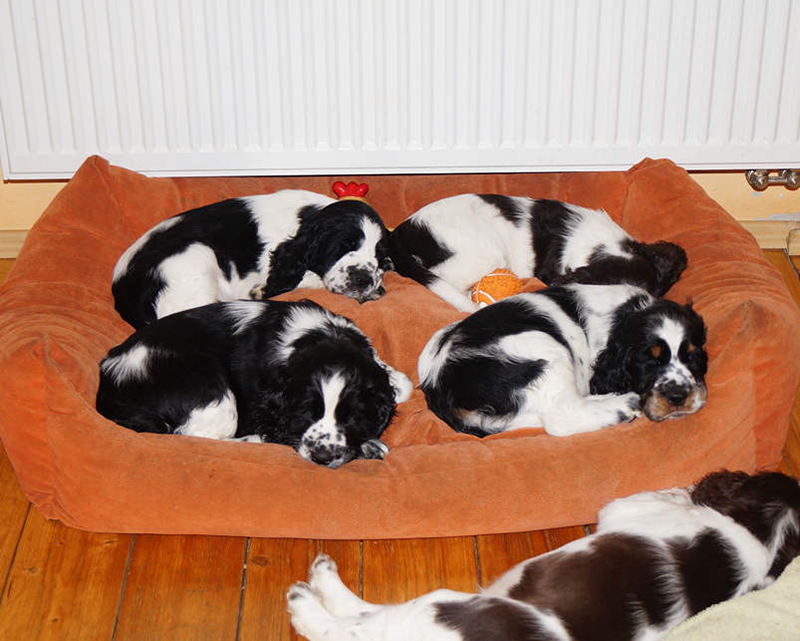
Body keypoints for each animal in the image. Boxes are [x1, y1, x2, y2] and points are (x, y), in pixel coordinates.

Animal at [95, 298, 412, 468]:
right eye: (306, 412)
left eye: (352, 417)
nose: (322, 456)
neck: (318, 337)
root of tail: (110, 377)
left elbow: (401, 385)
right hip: (208, 382)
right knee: (195, 436)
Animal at [111, 189, 392, 330]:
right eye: (344, 246)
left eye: (379, 256)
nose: (362, 279)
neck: (306, 217)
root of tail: (121, 290)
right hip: (196, 255)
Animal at [288, 470, 800, 640]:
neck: (769, 538)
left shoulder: (624, 511)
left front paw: (681, 492)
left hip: (440, 606)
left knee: (351, 628)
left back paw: (308, 596)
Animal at [418, 284, 708, 438]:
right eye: (649, 361)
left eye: (692, 356)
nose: (678, 397)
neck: (627, 313)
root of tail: (439, 386)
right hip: (543, 346)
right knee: (562, 416)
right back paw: (623, 405)